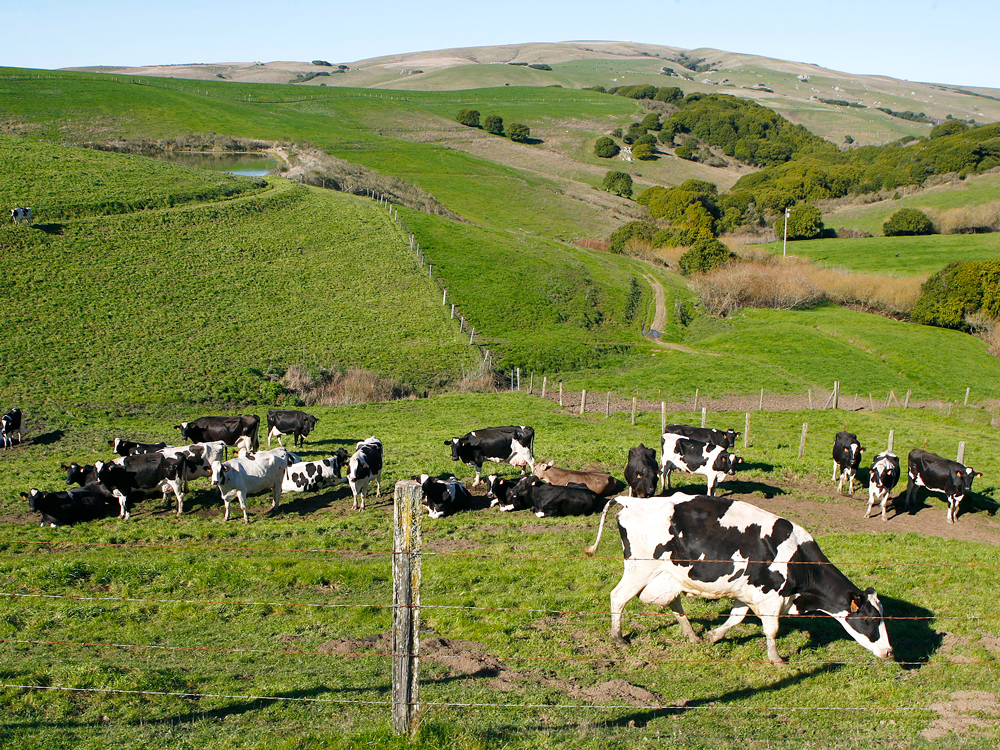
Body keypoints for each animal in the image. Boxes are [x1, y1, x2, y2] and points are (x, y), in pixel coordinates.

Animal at [584, 496, 896, 668]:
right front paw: (776, 659)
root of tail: (633, 501)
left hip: (670, 574)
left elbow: (735, 619)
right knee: (618, 596)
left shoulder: (747, 592)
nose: (890, 651)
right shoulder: (770, 597)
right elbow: (771, 630)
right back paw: (618, 637)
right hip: (640, 569)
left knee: (674, 603)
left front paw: (713, 636)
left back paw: (693, 635)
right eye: (870, 619)